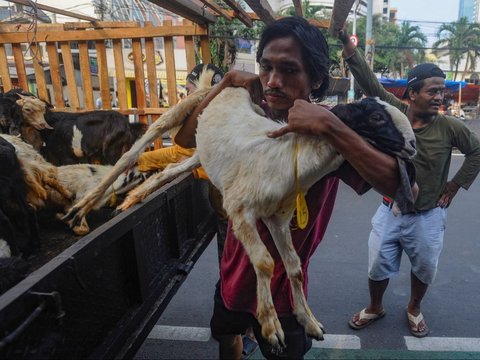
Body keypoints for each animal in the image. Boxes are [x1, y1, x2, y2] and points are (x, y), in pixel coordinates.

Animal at [63, 82, 416, 348]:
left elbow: (293, 267)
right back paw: (80, 211)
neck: (291, 157)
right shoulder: (240, 209)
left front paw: (309, 322)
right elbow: (265, 262)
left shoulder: (277, 218)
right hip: (181, 111)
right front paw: (271, 327)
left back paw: (132, 198)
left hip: (205, 154)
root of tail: (226, 84)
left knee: (174, 169)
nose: (412, 146)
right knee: (131, 156)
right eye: (375, 116)